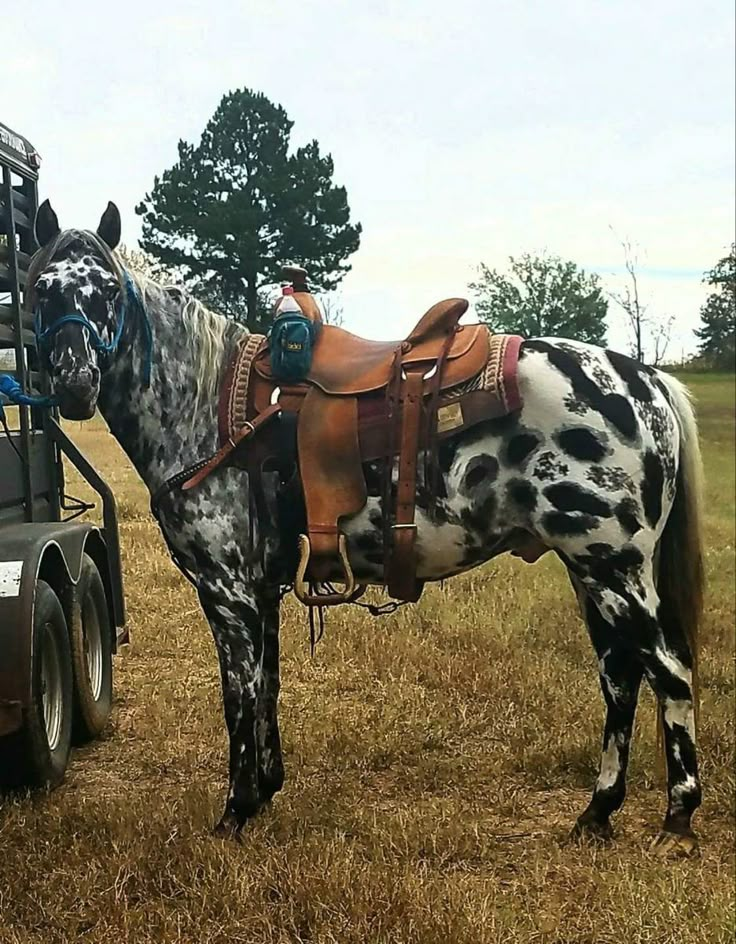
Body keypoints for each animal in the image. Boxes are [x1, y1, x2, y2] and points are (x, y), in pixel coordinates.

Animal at [28, 201, 704, 856]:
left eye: (107, 291)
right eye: (41, 290)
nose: (74, 381)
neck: (211, 410)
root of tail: (644, 380)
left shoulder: (228, 592)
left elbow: (238, 696)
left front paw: (235, 813)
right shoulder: (262, 590)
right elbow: (267, 687)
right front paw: (266, 792)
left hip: (613, 568)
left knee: (669, 671)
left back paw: (678, 820)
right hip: (591, 573)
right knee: (620, 677)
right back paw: (597, 812)